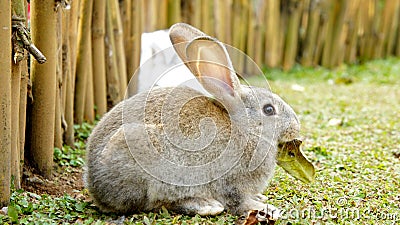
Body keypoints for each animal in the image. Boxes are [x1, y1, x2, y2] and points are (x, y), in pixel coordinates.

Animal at [85, 23, 316, 221]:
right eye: (269, 110)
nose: (296, 126)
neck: (246, 128)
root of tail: (95, 184)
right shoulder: (231, 184)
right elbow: (238, 202)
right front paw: (265, 208)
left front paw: (260, 198)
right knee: (157, 203)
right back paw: (206, 206)